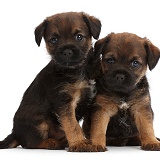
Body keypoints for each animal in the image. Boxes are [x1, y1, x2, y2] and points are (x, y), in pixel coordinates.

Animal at [0, 11, 101, 152]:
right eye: (54, 40)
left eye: (79, 37)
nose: (67, 51)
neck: (78, 70)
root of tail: (15, 133)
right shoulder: (64, 102)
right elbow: (73, 125)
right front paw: (79, 143)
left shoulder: (90, 100)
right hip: (40, 122)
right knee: (31, 143)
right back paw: (53, 143)